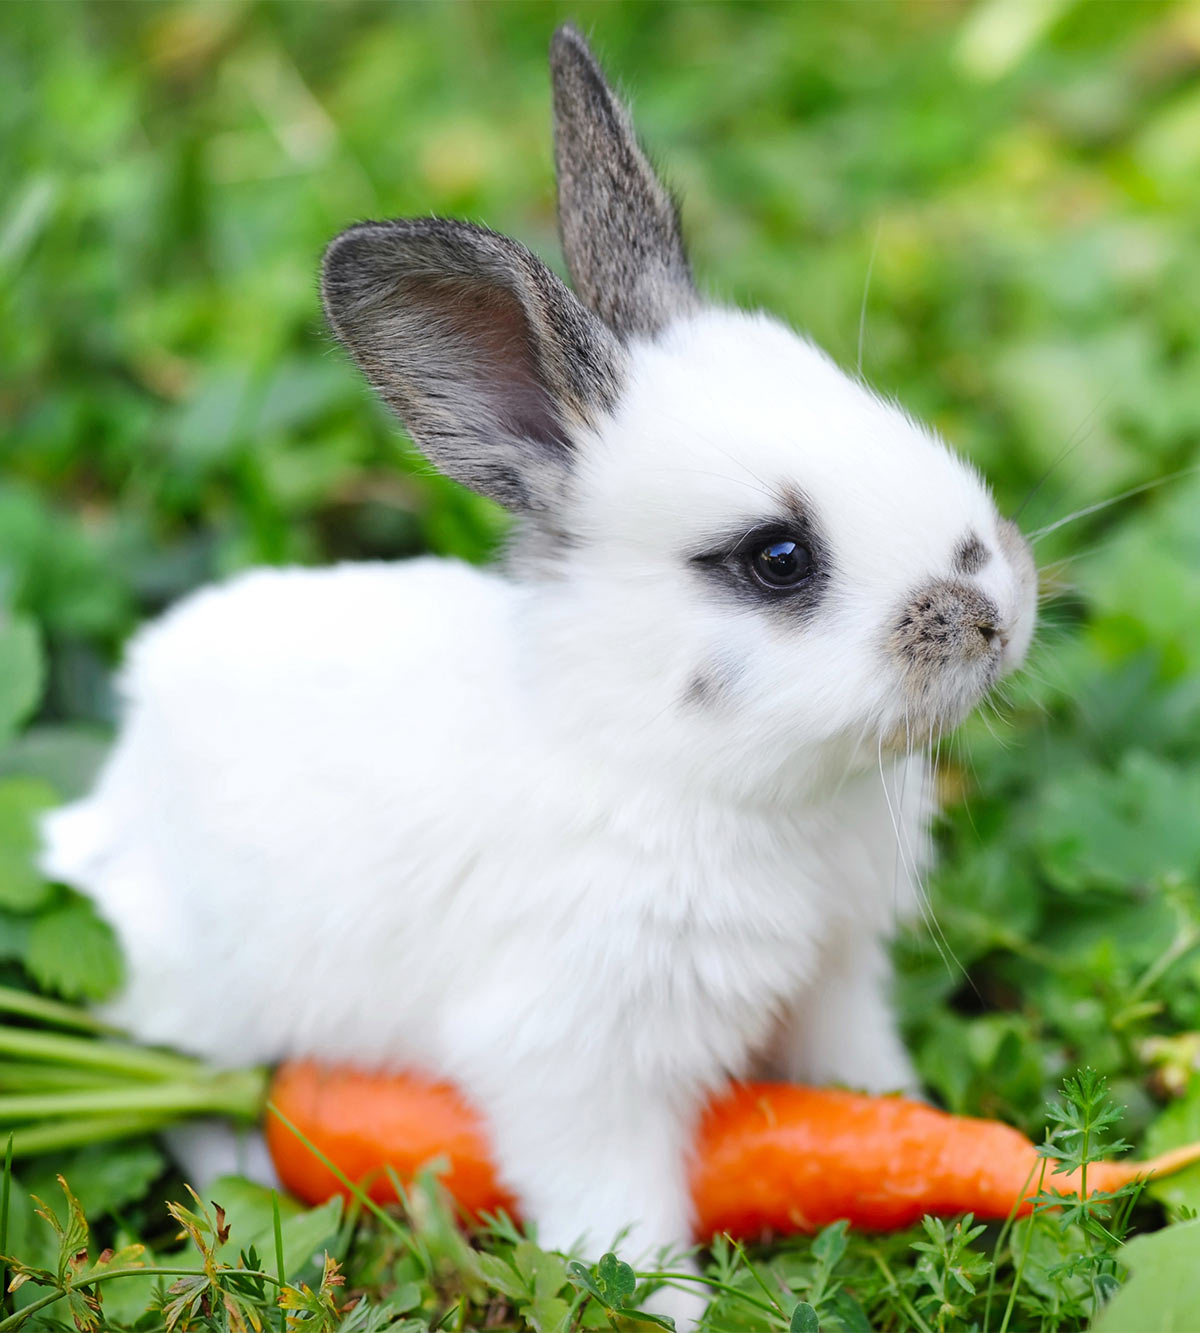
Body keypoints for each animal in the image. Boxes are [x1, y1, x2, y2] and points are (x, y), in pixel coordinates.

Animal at [44, 23, 1040, 1333]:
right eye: (778, 558)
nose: (996, 612)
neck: (685, 768)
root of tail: (110, 805)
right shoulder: (578, 1063)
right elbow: (620, 1209)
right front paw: (674, 1308)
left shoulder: (834, 978)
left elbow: (859, 1086)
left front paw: (917, 1129)